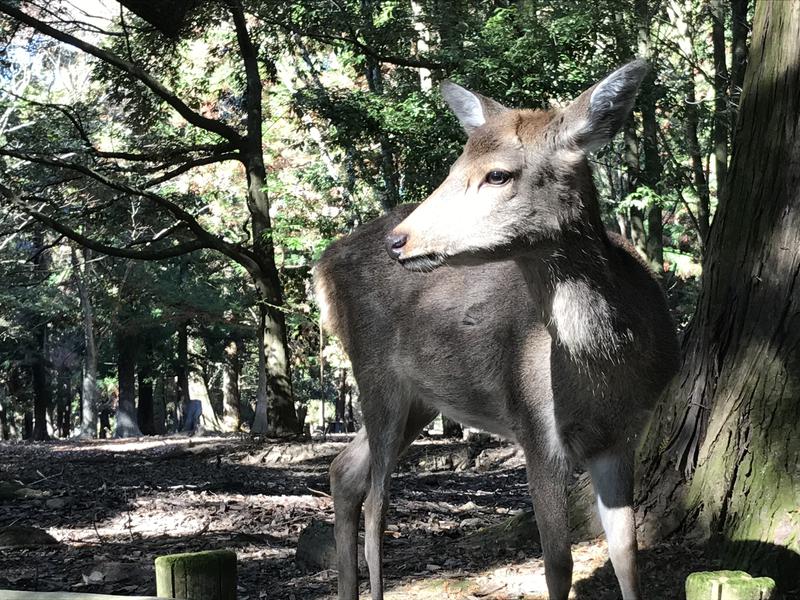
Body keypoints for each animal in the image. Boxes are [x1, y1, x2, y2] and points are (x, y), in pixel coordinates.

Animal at [316, 62, 680, 600]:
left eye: (498, 174)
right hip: (376, 374)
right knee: (376, 505)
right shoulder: (535, 425)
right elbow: (558, 564)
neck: (607, 368)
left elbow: (626, 554)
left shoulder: (622, 436)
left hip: (421, 399)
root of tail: (320, 268)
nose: (399, 241)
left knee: (345, 470)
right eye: (452, 169)